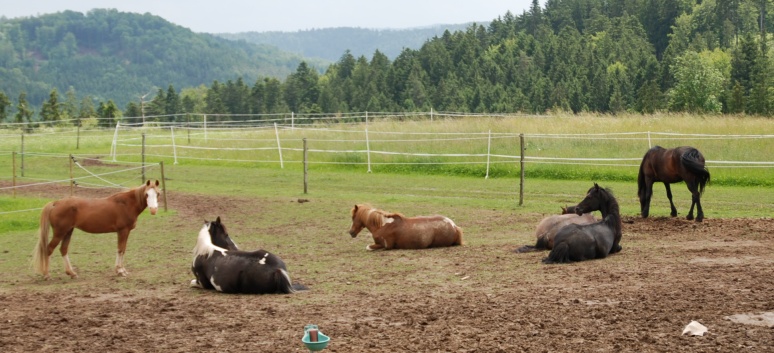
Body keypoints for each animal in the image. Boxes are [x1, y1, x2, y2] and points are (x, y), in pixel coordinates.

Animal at [31, 180, 161, 280]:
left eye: (158, 194)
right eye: (146, 194)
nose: (153, 210)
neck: (126, 204)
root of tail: (56, 203)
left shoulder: (126, 231)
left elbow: (123, 250)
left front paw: (122, 270)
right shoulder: (123, 231)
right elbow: (120, 249)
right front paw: (120, 271)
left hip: (68, 231)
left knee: (63, 249)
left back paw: (72, 273)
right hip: (59, 233)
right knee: (49, 249)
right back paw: (47, 275)